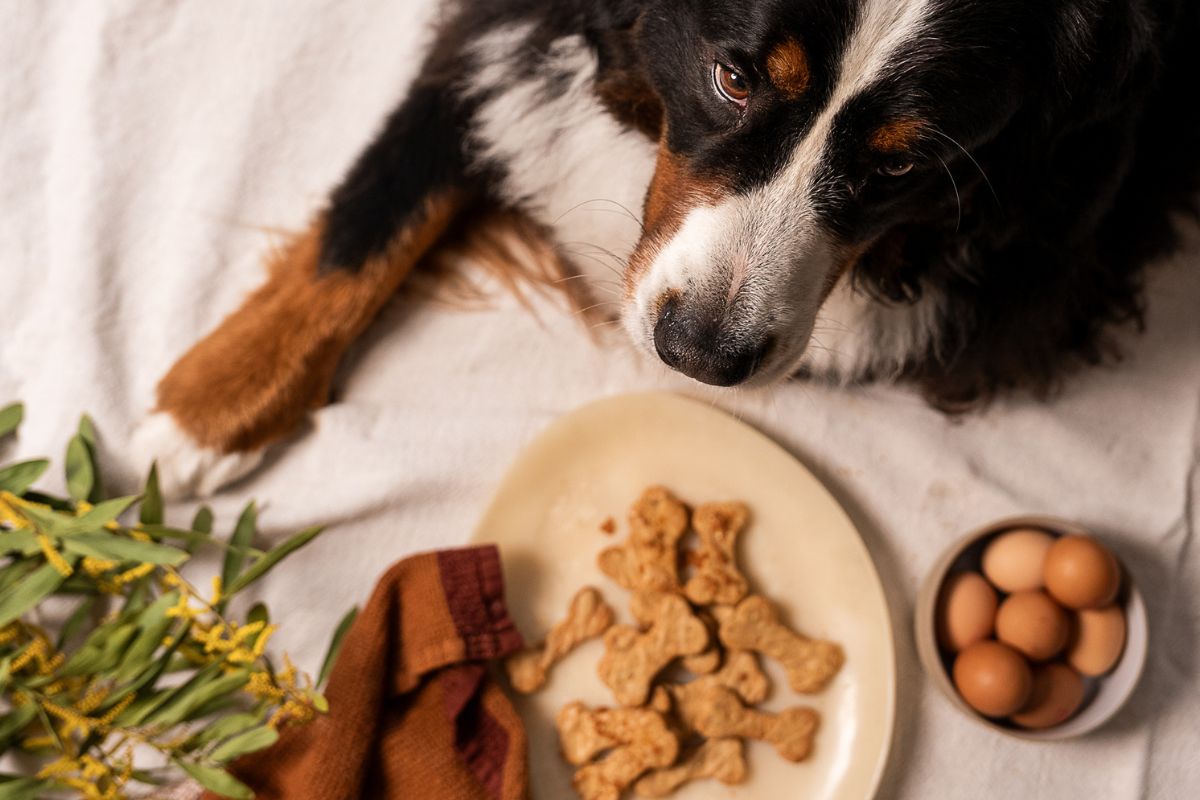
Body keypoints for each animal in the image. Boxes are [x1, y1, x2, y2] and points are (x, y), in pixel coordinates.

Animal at [131, 1, 1200, 501]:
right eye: (732, 77)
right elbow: (367, 219)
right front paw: (207, 415)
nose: (702, 353)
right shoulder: (492, 44)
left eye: (904, 164)